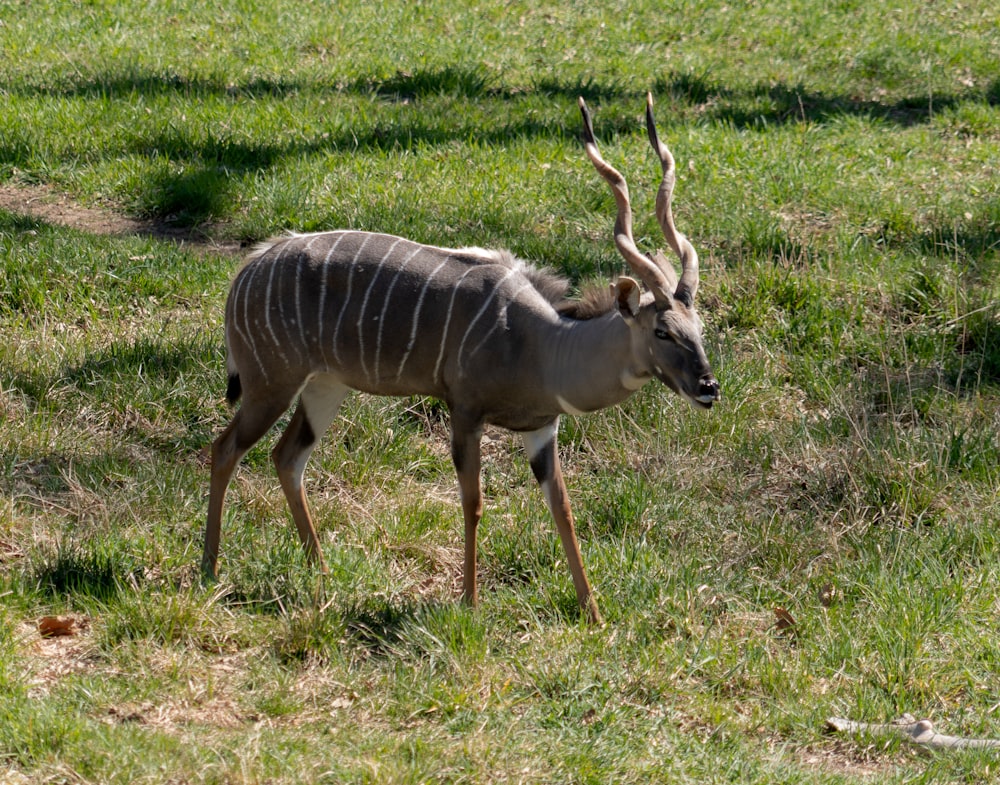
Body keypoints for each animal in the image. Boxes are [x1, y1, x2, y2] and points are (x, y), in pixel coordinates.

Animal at [203, 92, 720, 620]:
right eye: (661, 330)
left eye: (699, 328)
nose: (708, 387)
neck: (543, 346)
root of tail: (250, 267)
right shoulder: (466, 412)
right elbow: (474, 504)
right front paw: (469, 601)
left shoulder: (541, 429)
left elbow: (563, 508)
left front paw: (592, 613)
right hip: (270, 384)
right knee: (224, 449)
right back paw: (211, 569)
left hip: (324, 388)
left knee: (287, 457)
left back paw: (321, 573)